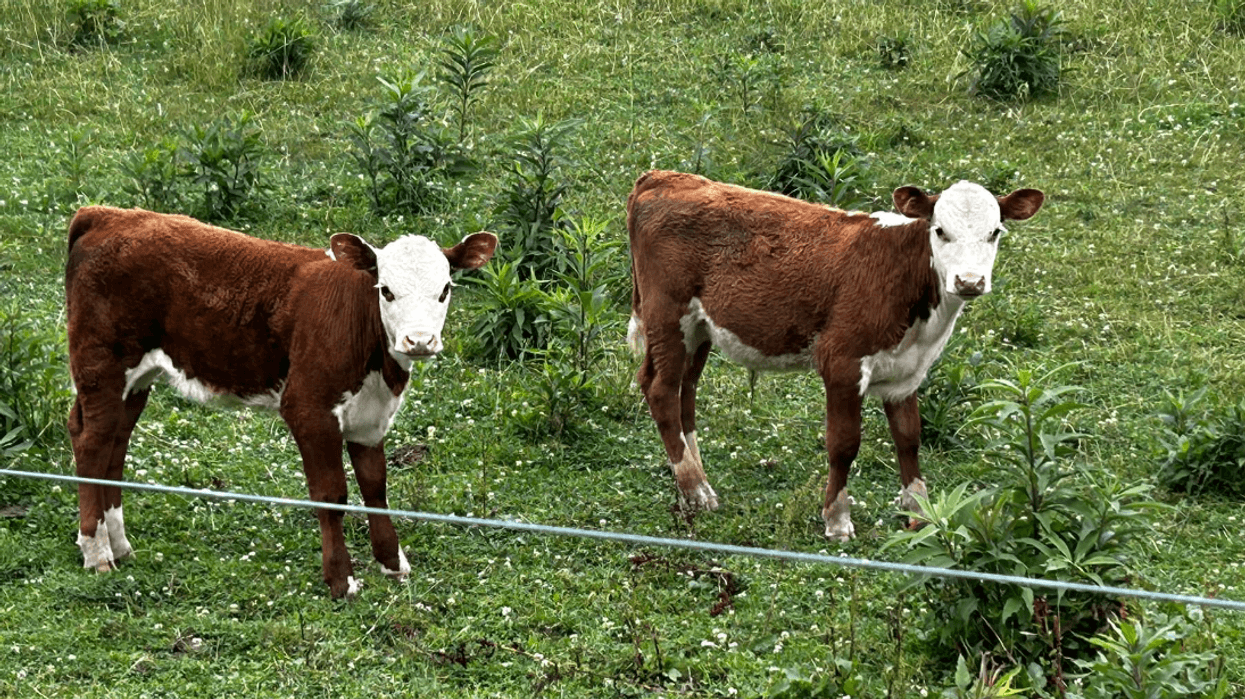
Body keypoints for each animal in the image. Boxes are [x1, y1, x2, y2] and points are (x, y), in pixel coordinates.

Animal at [65, 206, 496, 599]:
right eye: (386, 291)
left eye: (444, 290)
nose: (419, 340)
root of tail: (106, 214)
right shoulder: (309, 408)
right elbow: (331, 494)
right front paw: (341, 580)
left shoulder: (370, 416)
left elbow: (376, 487)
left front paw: (392, 563)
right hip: (101, 365)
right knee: (92, 442)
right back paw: (97, 552)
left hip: (136, 379)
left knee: (115, 442)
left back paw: (119, 545)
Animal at [626, 170, 1044, 540]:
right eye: (940, 231)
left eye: (995, 232)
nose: (970, 282)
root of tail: (663, 177)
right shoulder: (842, 362)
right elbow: (844, 444)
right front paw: (837, 519)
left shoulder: (906, 372)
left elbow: (909, 437)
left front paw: (920, 513)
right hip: (668, 314)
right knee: (662, 390)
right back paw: (695, 489)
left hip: (699, 328)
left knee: (685, 392)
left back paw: (694, 477)